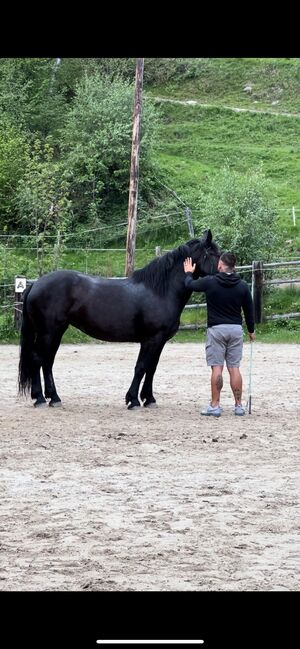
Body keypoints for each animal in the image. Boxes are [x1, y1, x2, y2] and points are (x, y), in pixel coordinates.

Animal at [18, 230, 220, 408]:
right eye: (212, 253)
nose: (224, 270)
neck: (159, 291)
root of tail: (36, 284)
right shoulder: (151, 339)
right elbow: (141, 367)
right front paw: (134, 400)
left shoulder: (160, 341)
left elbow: (152, 368)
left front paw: (149, 399)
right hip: (48, 332)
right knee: (37, 359)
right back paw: (40, 399)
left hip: (57, 331)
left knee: (47, 361)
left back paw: (54, 398)